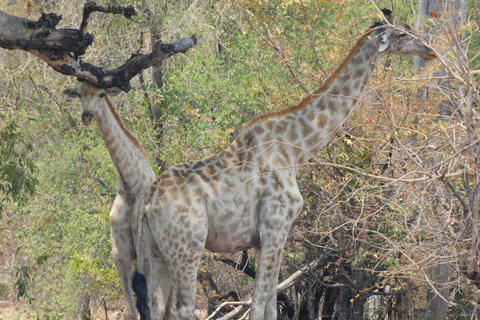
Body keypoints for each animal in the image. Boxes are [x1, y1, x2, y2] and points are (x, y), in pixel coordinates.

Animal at [63, 82, 156, 320]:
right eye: (79, 94)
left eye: (102, 94)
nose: (86, 115)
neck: (131, 186)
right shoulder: (120, 256)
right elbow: (131, 312)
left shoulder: (145, 254)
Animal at [130, 8, 436, 318]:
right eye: (402, 34)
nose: (431, 51)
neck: (296, 149)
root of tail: (148, 201)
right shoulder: (274, 227)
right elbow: (260, 307)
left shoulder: (277, 233)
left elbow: (269, 304)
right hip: (187, 247)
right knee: (181, 307)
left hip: (154, 252)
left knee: (155, 307)